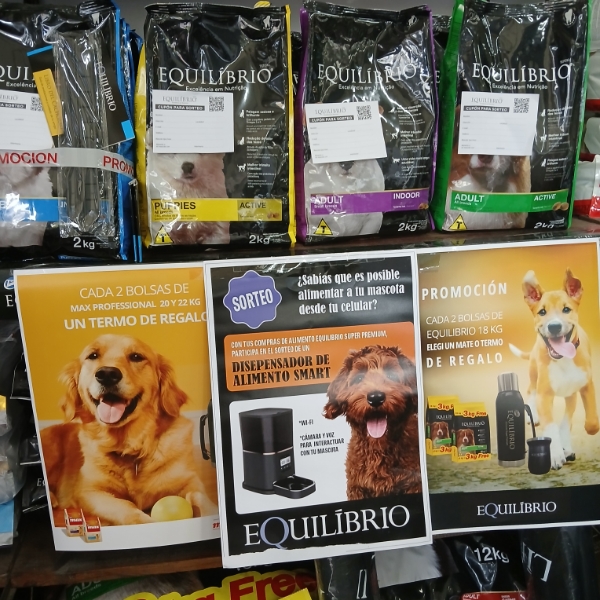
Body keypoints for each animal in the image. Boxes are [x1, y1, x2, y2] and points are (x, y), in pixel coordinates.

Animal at [41, 334, 217, 525]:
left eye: (136, 356)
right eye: (93, 355)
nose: (107, 374)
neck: (131, 447)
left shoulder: (190, 481)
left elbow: (199, 497)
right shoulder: (88, 491)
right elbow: (128, 508)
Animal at [323, 346, 421, 499]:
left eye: (391, 375)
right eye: (358, 378)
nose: (375, 398)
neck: (378, 448)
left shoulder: (414, 484)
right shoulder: (356, 488)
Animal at [509, 269, 599, 469]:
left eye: (566, 309)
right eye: (542, 312)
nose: (555, 326)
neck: (563, 359)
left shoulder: (585, 386)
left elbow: (590, 423)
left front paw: (565, 447)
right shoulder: (545, 394)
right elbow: (551, 426)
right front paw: (556, 454)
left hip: (570, 393)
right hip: (534, 373)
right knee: (530, 390)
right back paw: (533, 415)